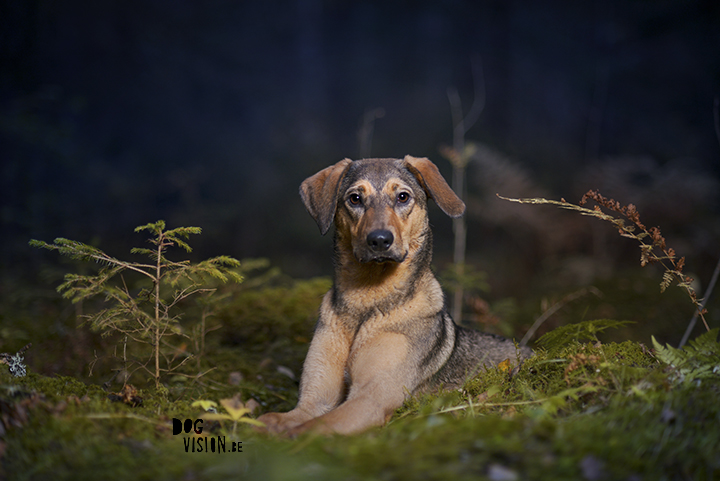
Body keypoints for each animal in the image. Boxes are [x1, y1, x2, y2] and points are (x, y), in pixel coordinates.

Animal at [258, 156, 528, 434]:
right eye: (355, 198)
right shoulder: (314, 400)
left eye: (402, 197)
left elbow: (311, 428)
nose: (379, 240)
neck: (367, 297)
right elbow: (272, 419)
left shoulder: (371, 398)